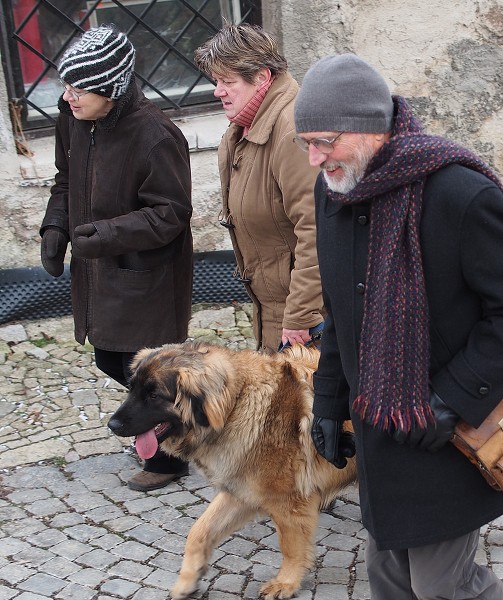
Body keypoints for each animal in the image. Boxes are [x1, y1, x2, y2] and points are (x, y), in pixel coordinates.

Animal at [108, 342, 356, 600]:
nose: (111, 425)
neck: (237, 405)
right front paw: (188, 580)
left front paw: (286, 583)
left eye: (154, 395)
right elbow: (199, 532)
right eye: (131, 389)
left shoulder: (288, 503)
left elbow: (291, 548)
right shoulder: (239, 491)